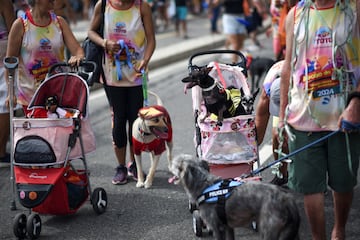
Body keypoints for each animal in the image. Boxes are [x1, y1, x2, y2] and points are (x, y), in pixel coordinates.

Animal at [170, 155, 300, 239]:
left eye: (175, 163)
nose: (169, 163)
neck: (204, 184)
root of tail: (286, 198)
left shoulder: (217, 227)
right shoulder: (227, 226)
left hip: (269, 229)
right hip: (290, 232)